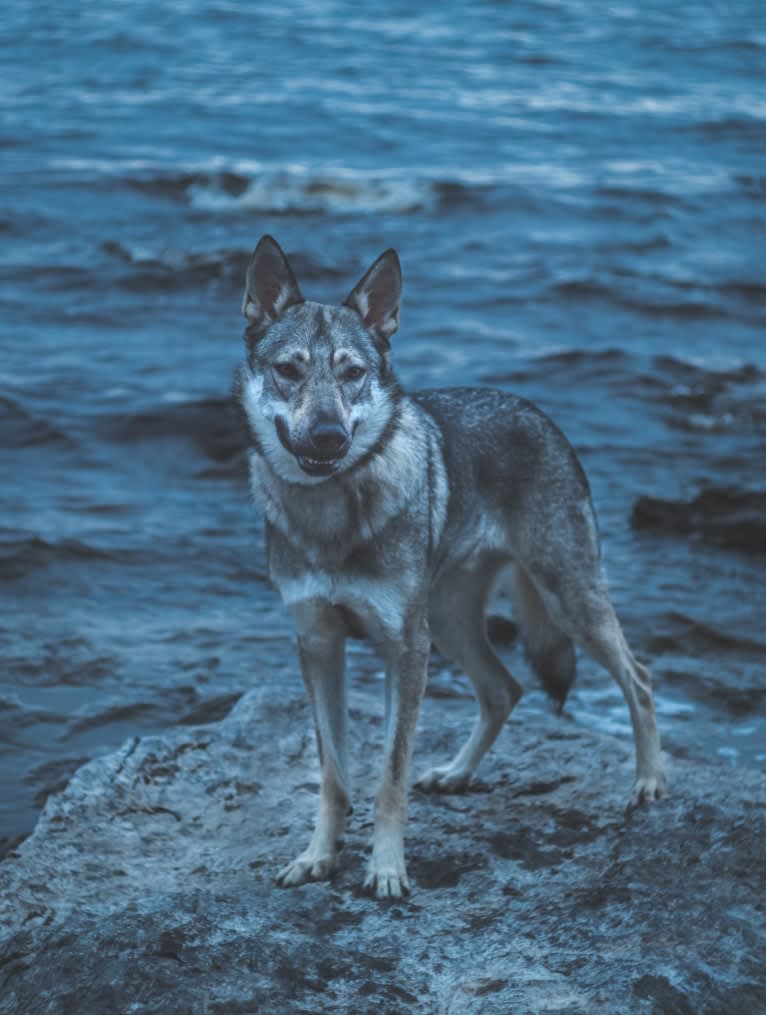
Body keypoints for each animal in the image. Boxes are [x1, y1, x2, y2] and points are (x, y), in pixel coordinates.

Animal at [236, 235, 669, 897]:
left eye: (351, 373)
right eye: (289, 371)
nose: (330, 436)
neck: (331, 513)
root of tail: (536, 410)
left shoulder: (402, 650)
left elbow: (389, 774)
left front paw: (387, 868)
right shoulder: (318, 644)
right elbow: (334, 774)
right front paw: (318, 857)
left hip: (564, 600)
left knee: (638, 677)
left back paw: (648, 783)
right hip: (449, 623)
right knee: (504, 690)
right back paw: (457, 773)